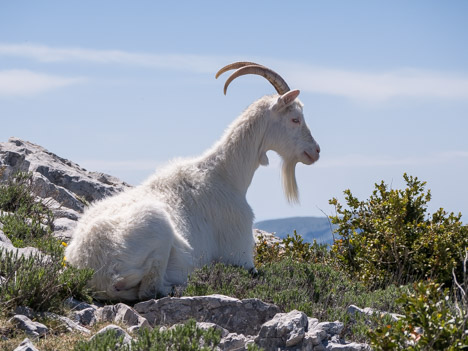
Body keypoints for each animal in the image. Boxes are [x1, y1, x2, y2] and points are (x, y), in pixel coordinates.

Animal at [66, 62, 320, 302]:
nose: (316, 151)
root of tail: (94, 268)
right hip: (157, 226)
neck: (226, 175)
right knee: (150, 289)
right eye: (295, 119)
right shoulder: (240, 253)